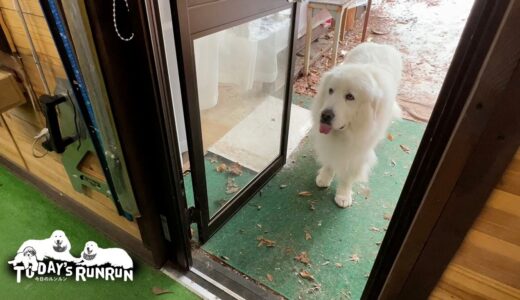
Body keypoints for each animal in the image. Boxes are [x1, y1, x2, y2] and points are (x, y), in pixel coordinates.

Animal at [310, 42, 404, 207]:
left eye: (350, 97)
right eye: (330, 90)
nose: (325, 115)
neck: (347, 132)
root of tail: (380, 44)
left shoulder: (358, 153)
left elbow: (348, 175)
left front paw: (343, 195)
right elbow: (330, 160)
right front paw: (325, 177)